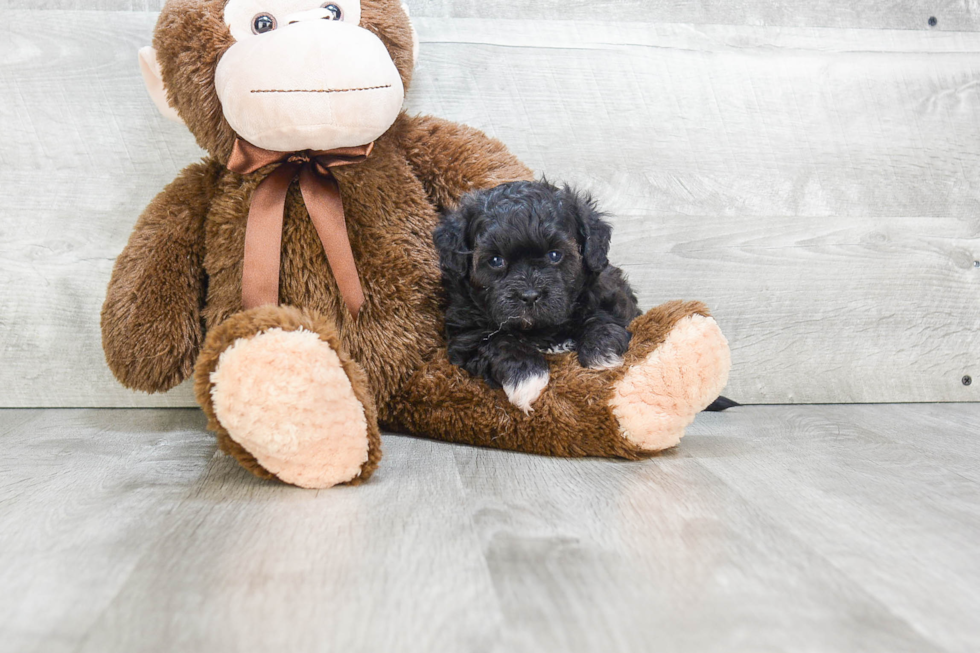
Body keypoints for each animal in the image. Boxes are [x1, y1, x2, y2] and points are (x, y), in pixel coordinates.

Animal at [432, 181, 640, 410]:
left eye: (555, 255)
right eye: (496, 260)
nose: (530, 295)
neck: (540, 329)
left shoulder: (613, 295)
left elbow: (602, 316)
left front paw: (601, 352)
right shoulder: (465, 334)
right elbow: (498, 340)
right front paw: (527, 377)